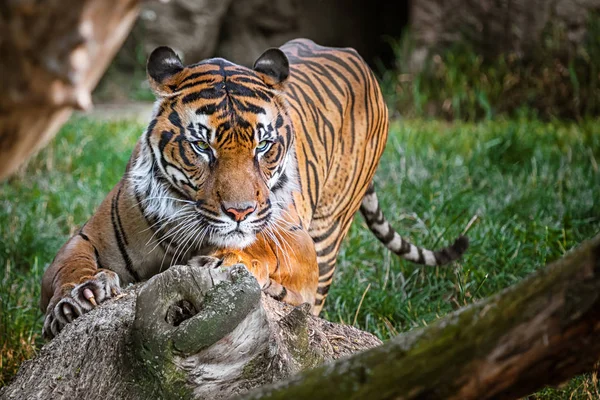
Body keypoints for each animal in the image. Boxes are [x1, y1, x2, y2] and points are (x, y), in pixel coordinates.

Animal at [39, 39, 468, 338]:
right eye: (202, 147)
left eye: (263, 146)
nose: (239, 212)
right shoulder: (86, 237)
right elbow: (68, 267)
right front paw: (79, 296)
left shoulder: (296, 241)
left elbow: (261, 249)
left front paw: (222, 262)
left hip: (327, 236)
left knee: (311, 301)